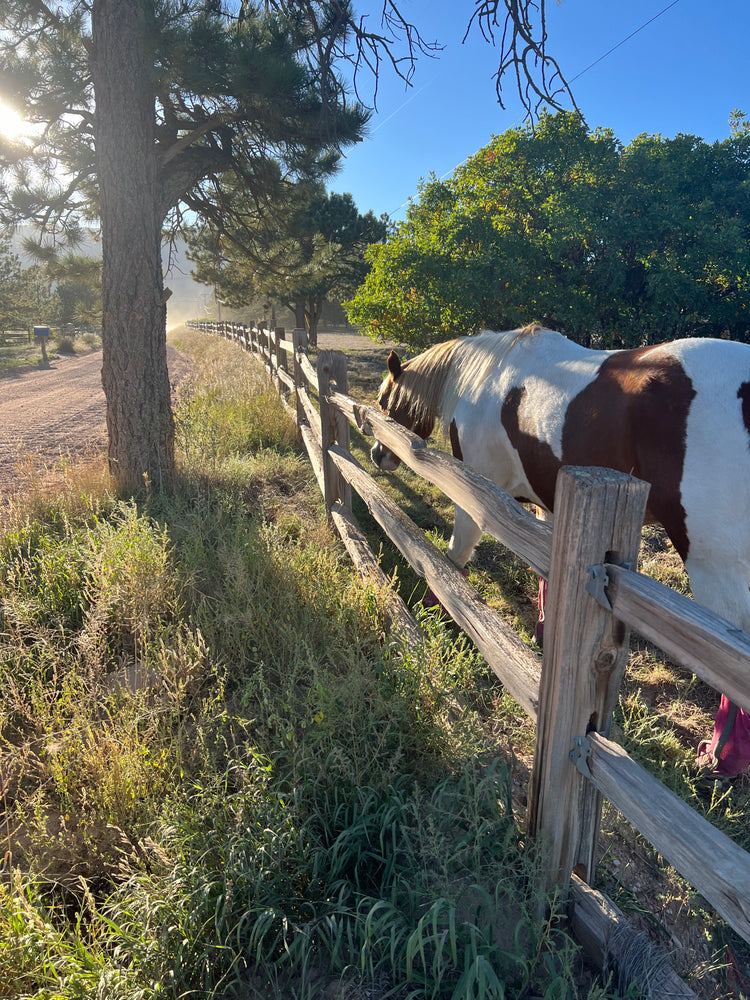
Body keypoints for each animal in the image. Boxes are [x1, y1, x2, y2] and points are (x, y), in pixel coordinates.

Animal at [374, 324, 750, 776]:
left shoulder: (474, 491)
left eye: (384, 401)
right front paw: (543, 628)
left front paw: (439, 609)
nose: (377, 453)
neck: (488, 377)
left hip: (716, 567)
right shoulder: (548, 504)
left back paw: (722, 755)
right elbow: (544, 570)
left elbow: (453, 558)